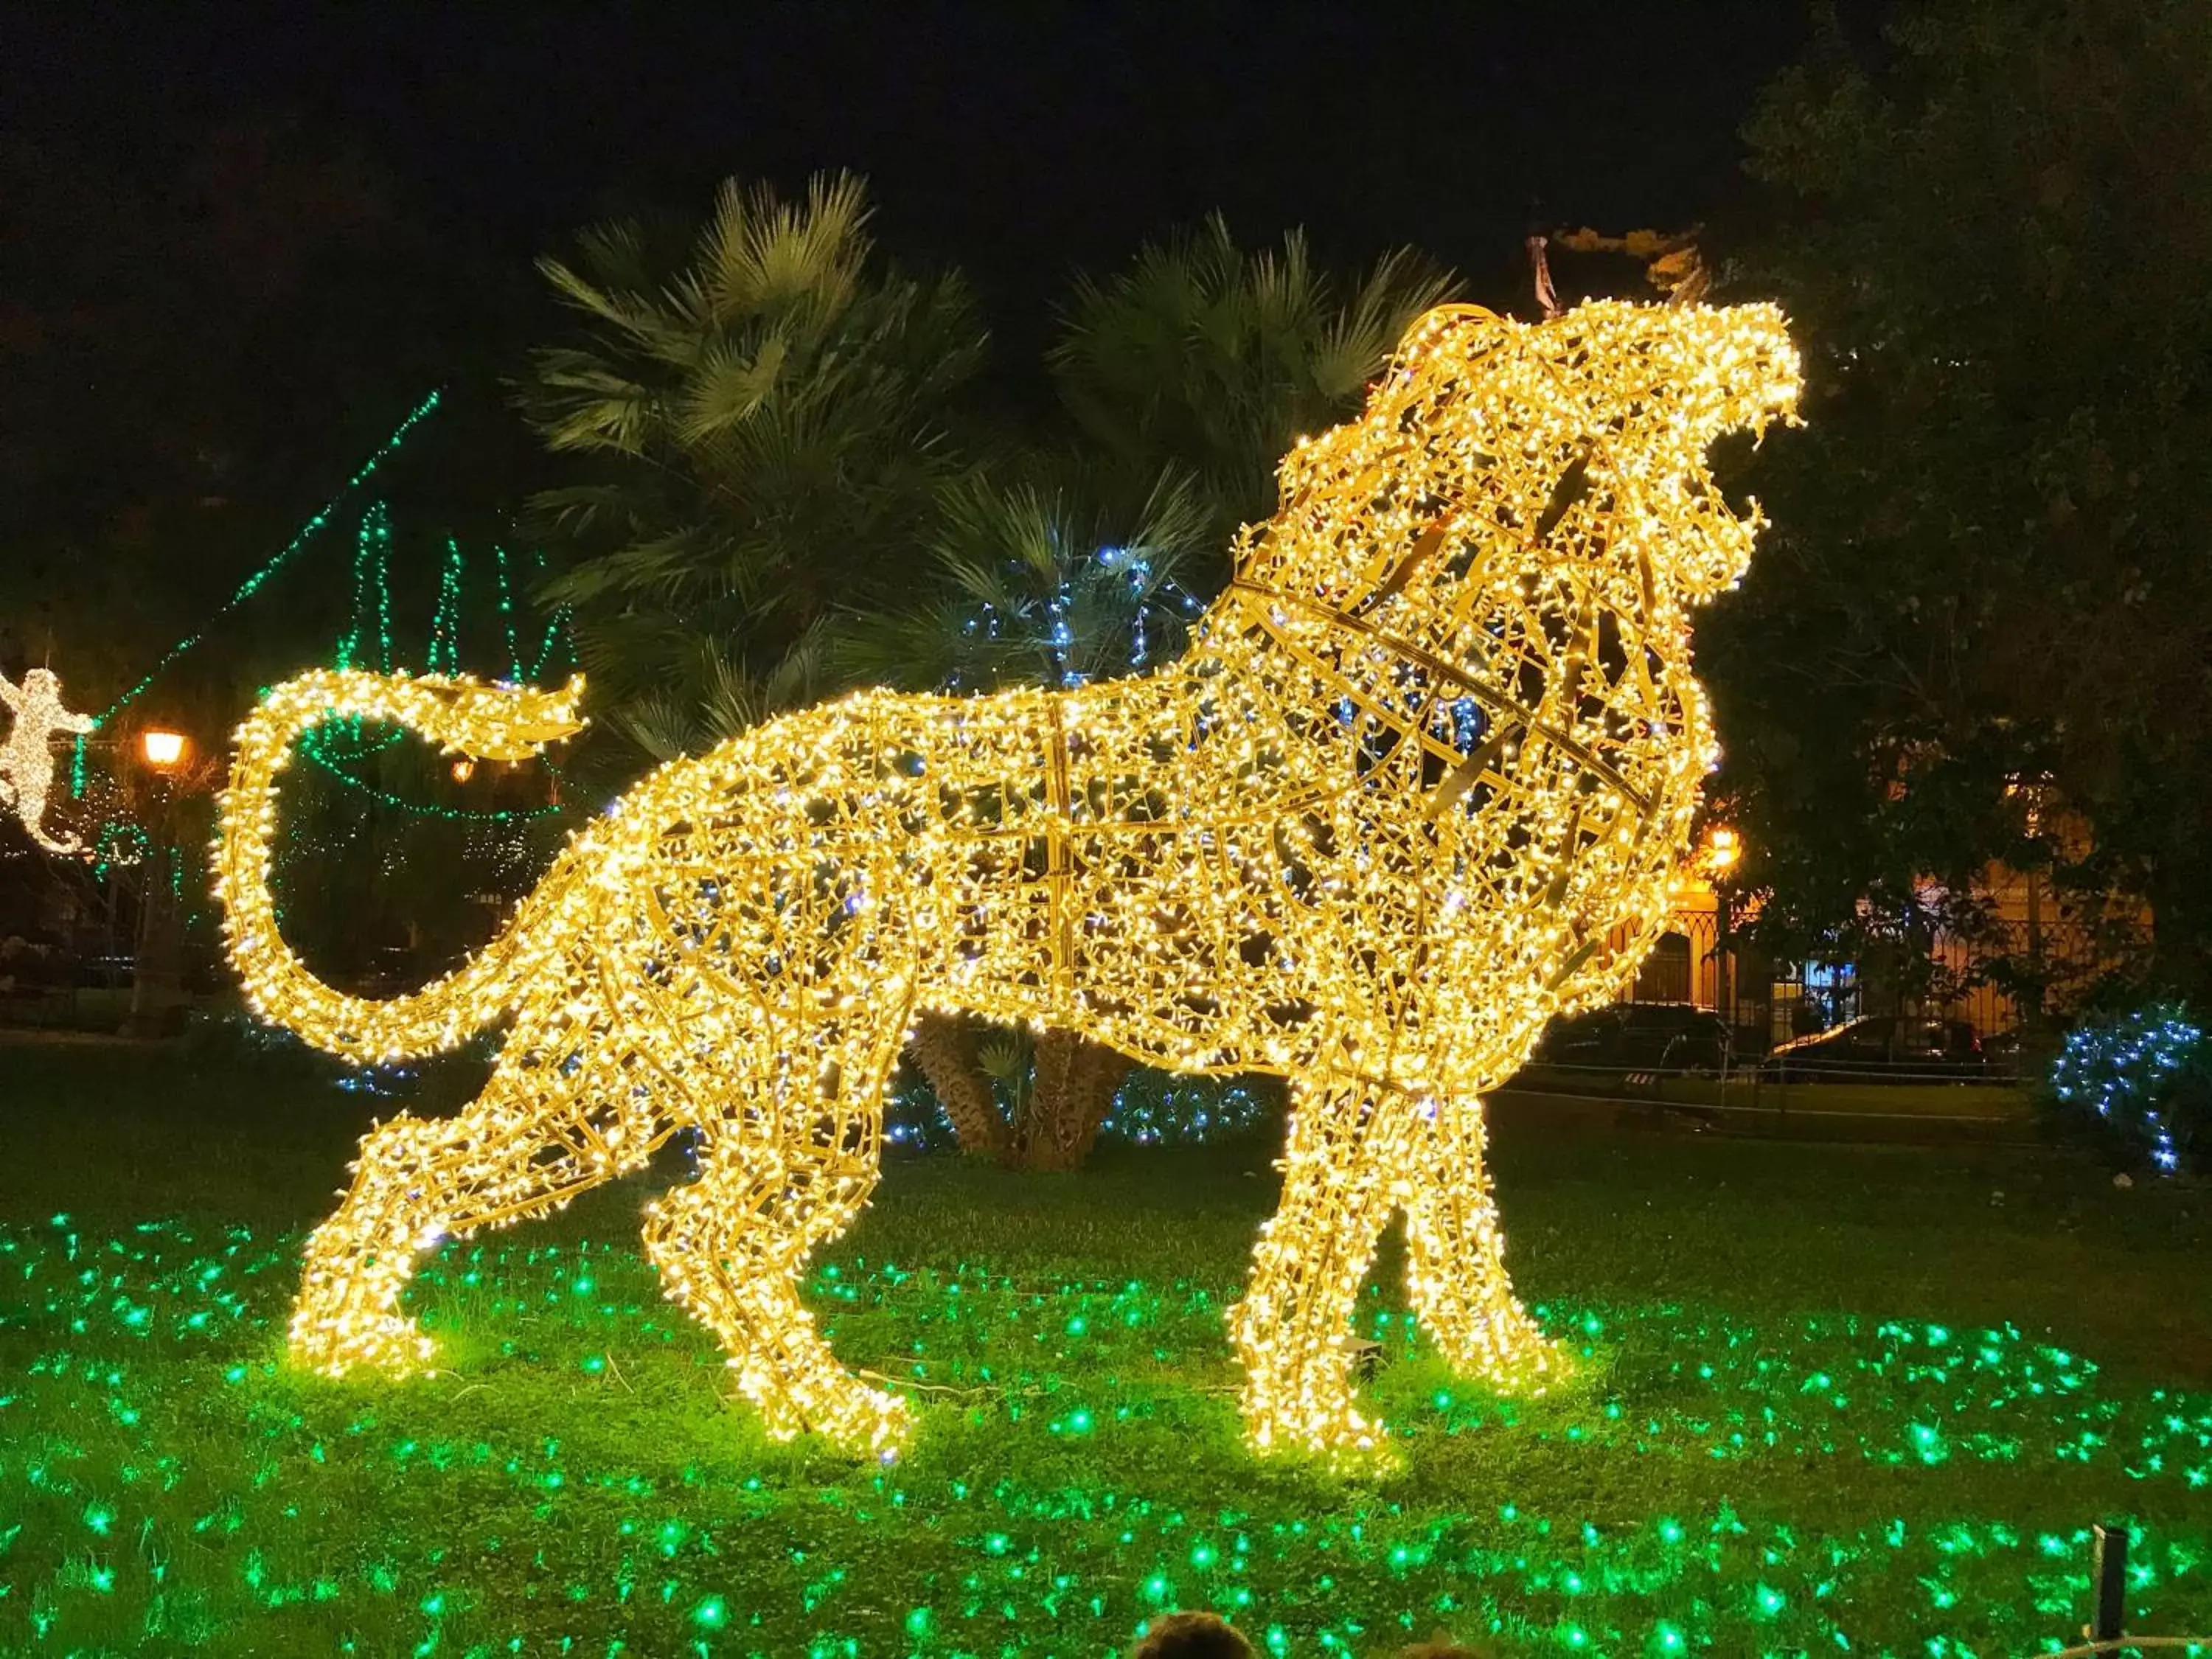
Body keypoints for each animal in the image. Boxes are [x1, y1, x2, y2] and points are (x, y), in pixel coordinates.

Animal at [211, 299, 1796, 1451]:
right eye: (1629, 338)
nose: (1769, 326)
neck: (1437, 697)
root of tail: (634, 815)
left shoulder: (1429, 1067)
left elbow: (1460, 1236)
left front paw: (1513, 1373)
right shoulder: (1365, 1065)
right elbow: (1321, 1251)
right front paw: (1320, 1434)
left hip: (639, 1056)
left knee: (432, 1165)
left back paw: (356, 1350)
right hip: (763, 1071)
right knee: (701, 1229)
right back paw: (840, 1420)